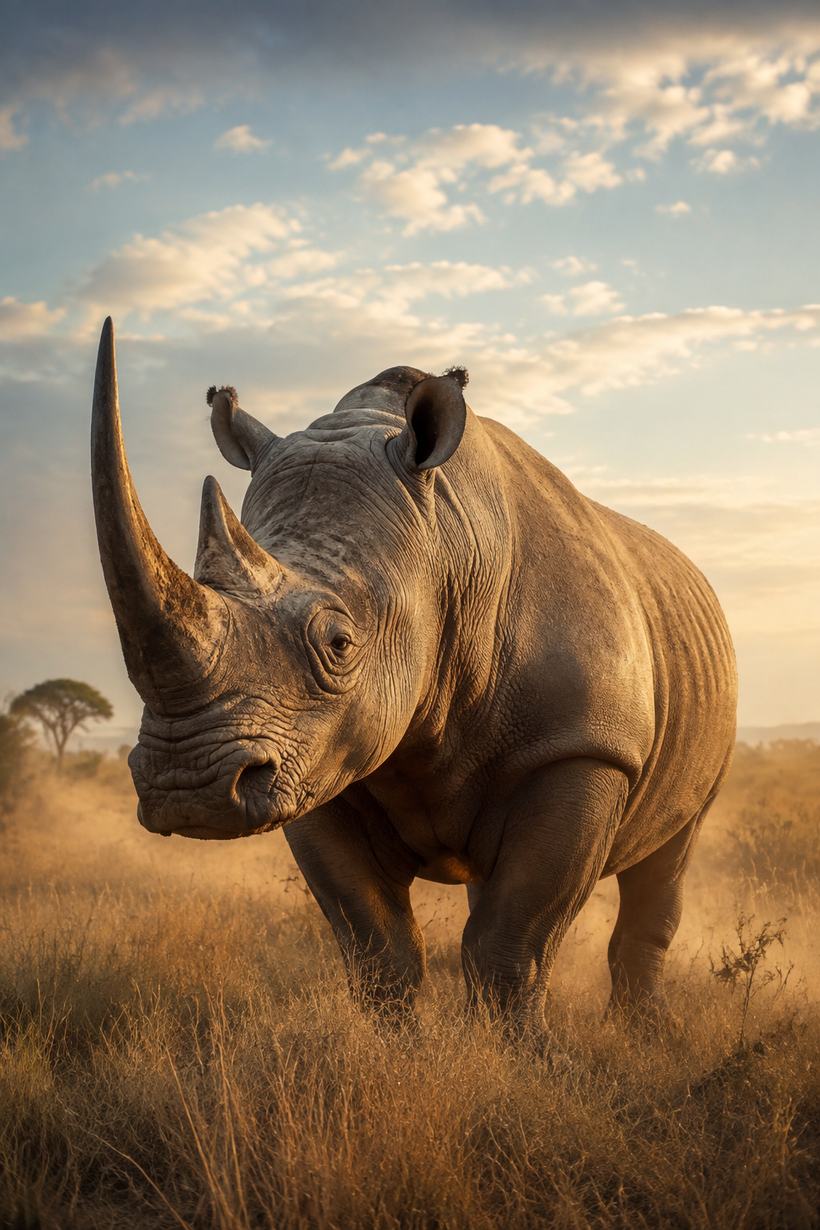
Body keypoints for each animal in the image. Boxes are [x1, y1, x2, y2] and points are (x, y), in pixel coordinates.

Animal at [91, 317, 736, 1047]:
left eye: (339, 644)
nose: (187, 789)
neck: (448, 545)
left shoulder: (582, 747)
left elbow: (515, 945)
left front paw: (526, 1063)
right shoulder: (317, 763)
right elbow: (378, 945)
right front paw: (397, 1052)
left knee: (670, 854)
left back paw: (645, 1036)